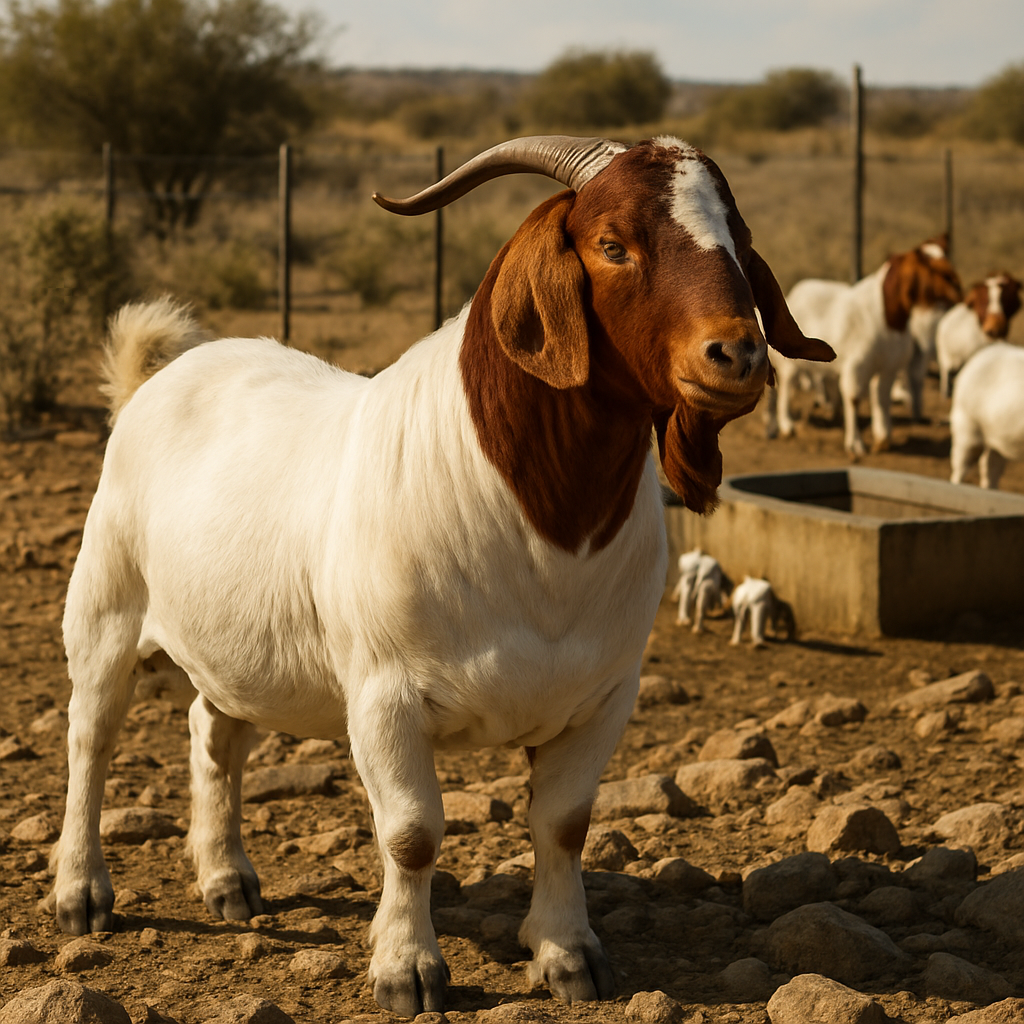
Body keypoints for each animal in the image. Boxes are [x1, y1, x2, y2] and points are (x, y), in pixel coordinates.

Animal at [51, 135, 832, 1017]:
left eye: (738, 237)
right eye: (612, 244)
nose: (738, 353)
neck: (541, 531)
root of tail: (161, 374)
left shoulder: (604, 697)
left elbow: (563, 823)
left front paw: (568, 955)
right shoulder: (384, 696)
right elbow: (411, 833)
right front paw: (407, 969)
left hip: (239, 647)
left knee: (213, 733)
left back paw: (227, 880)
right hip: (105, 610)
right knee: (91, 738)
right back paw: (82, 894)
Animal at [763, 236, 962, 454]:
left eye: (947, 256)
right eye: (931, 266)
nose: (957, 288)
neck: (888, 316)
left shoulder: (889, 367)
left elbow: (882, 398)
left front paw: (883, 437)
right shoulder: (857, 365)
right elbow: (854, 398)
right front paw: (855, 443)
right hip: (787, 362)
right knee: (785, 386)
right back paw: (785, 424)